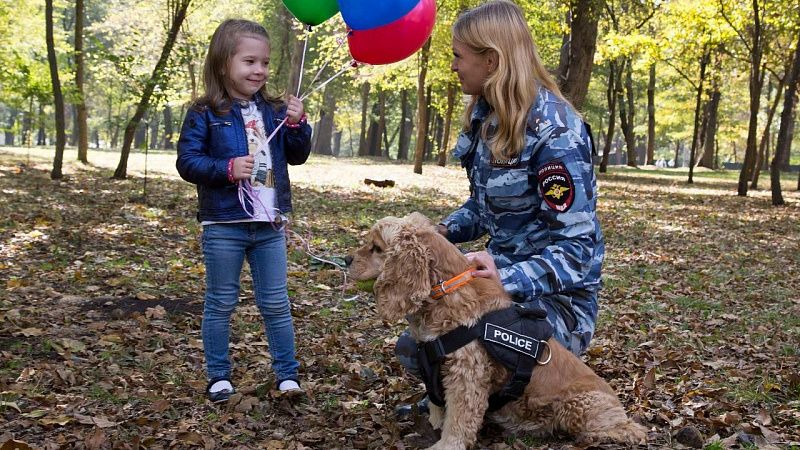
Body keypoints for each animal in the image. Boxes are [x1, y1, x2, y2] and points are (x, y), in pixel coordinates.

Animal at [346, 212, 648, 450]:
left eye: (376, 247)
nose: (347, 259)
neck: (446, 294)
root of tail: (619, 407)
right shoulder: (435, 365)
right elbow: (438, 405)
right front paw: (433, 423)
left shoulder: (467, 375)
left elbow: (459, 418)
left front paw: (446, 444)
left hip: (580, 405)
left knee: (633, 431)